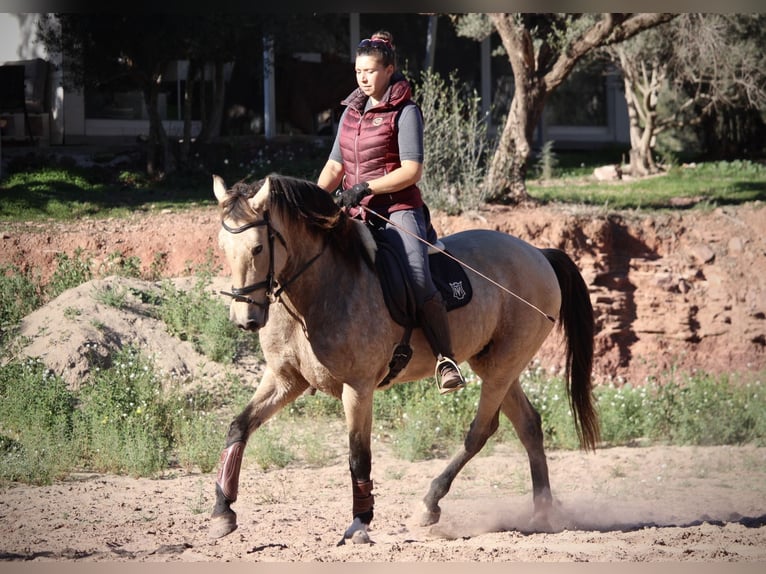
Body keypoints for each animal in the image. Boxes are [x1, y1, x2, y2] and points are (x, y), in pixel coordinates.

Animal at [210, 173, 600, 548]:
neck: (316, 290)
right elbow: (238, 427)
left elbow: (358, 457)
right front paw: (222, 512)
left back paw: (430, 504)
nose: (245, 319)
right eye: (223, 247)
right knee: (528, 424)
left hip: (502, 365)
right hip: (495, 364)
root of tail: (538, 253)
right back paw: (542, 513)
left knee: (480, 431)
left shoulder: (358, 388)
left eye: (258, 247)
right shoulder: (285, 379)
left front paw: (359, 525)